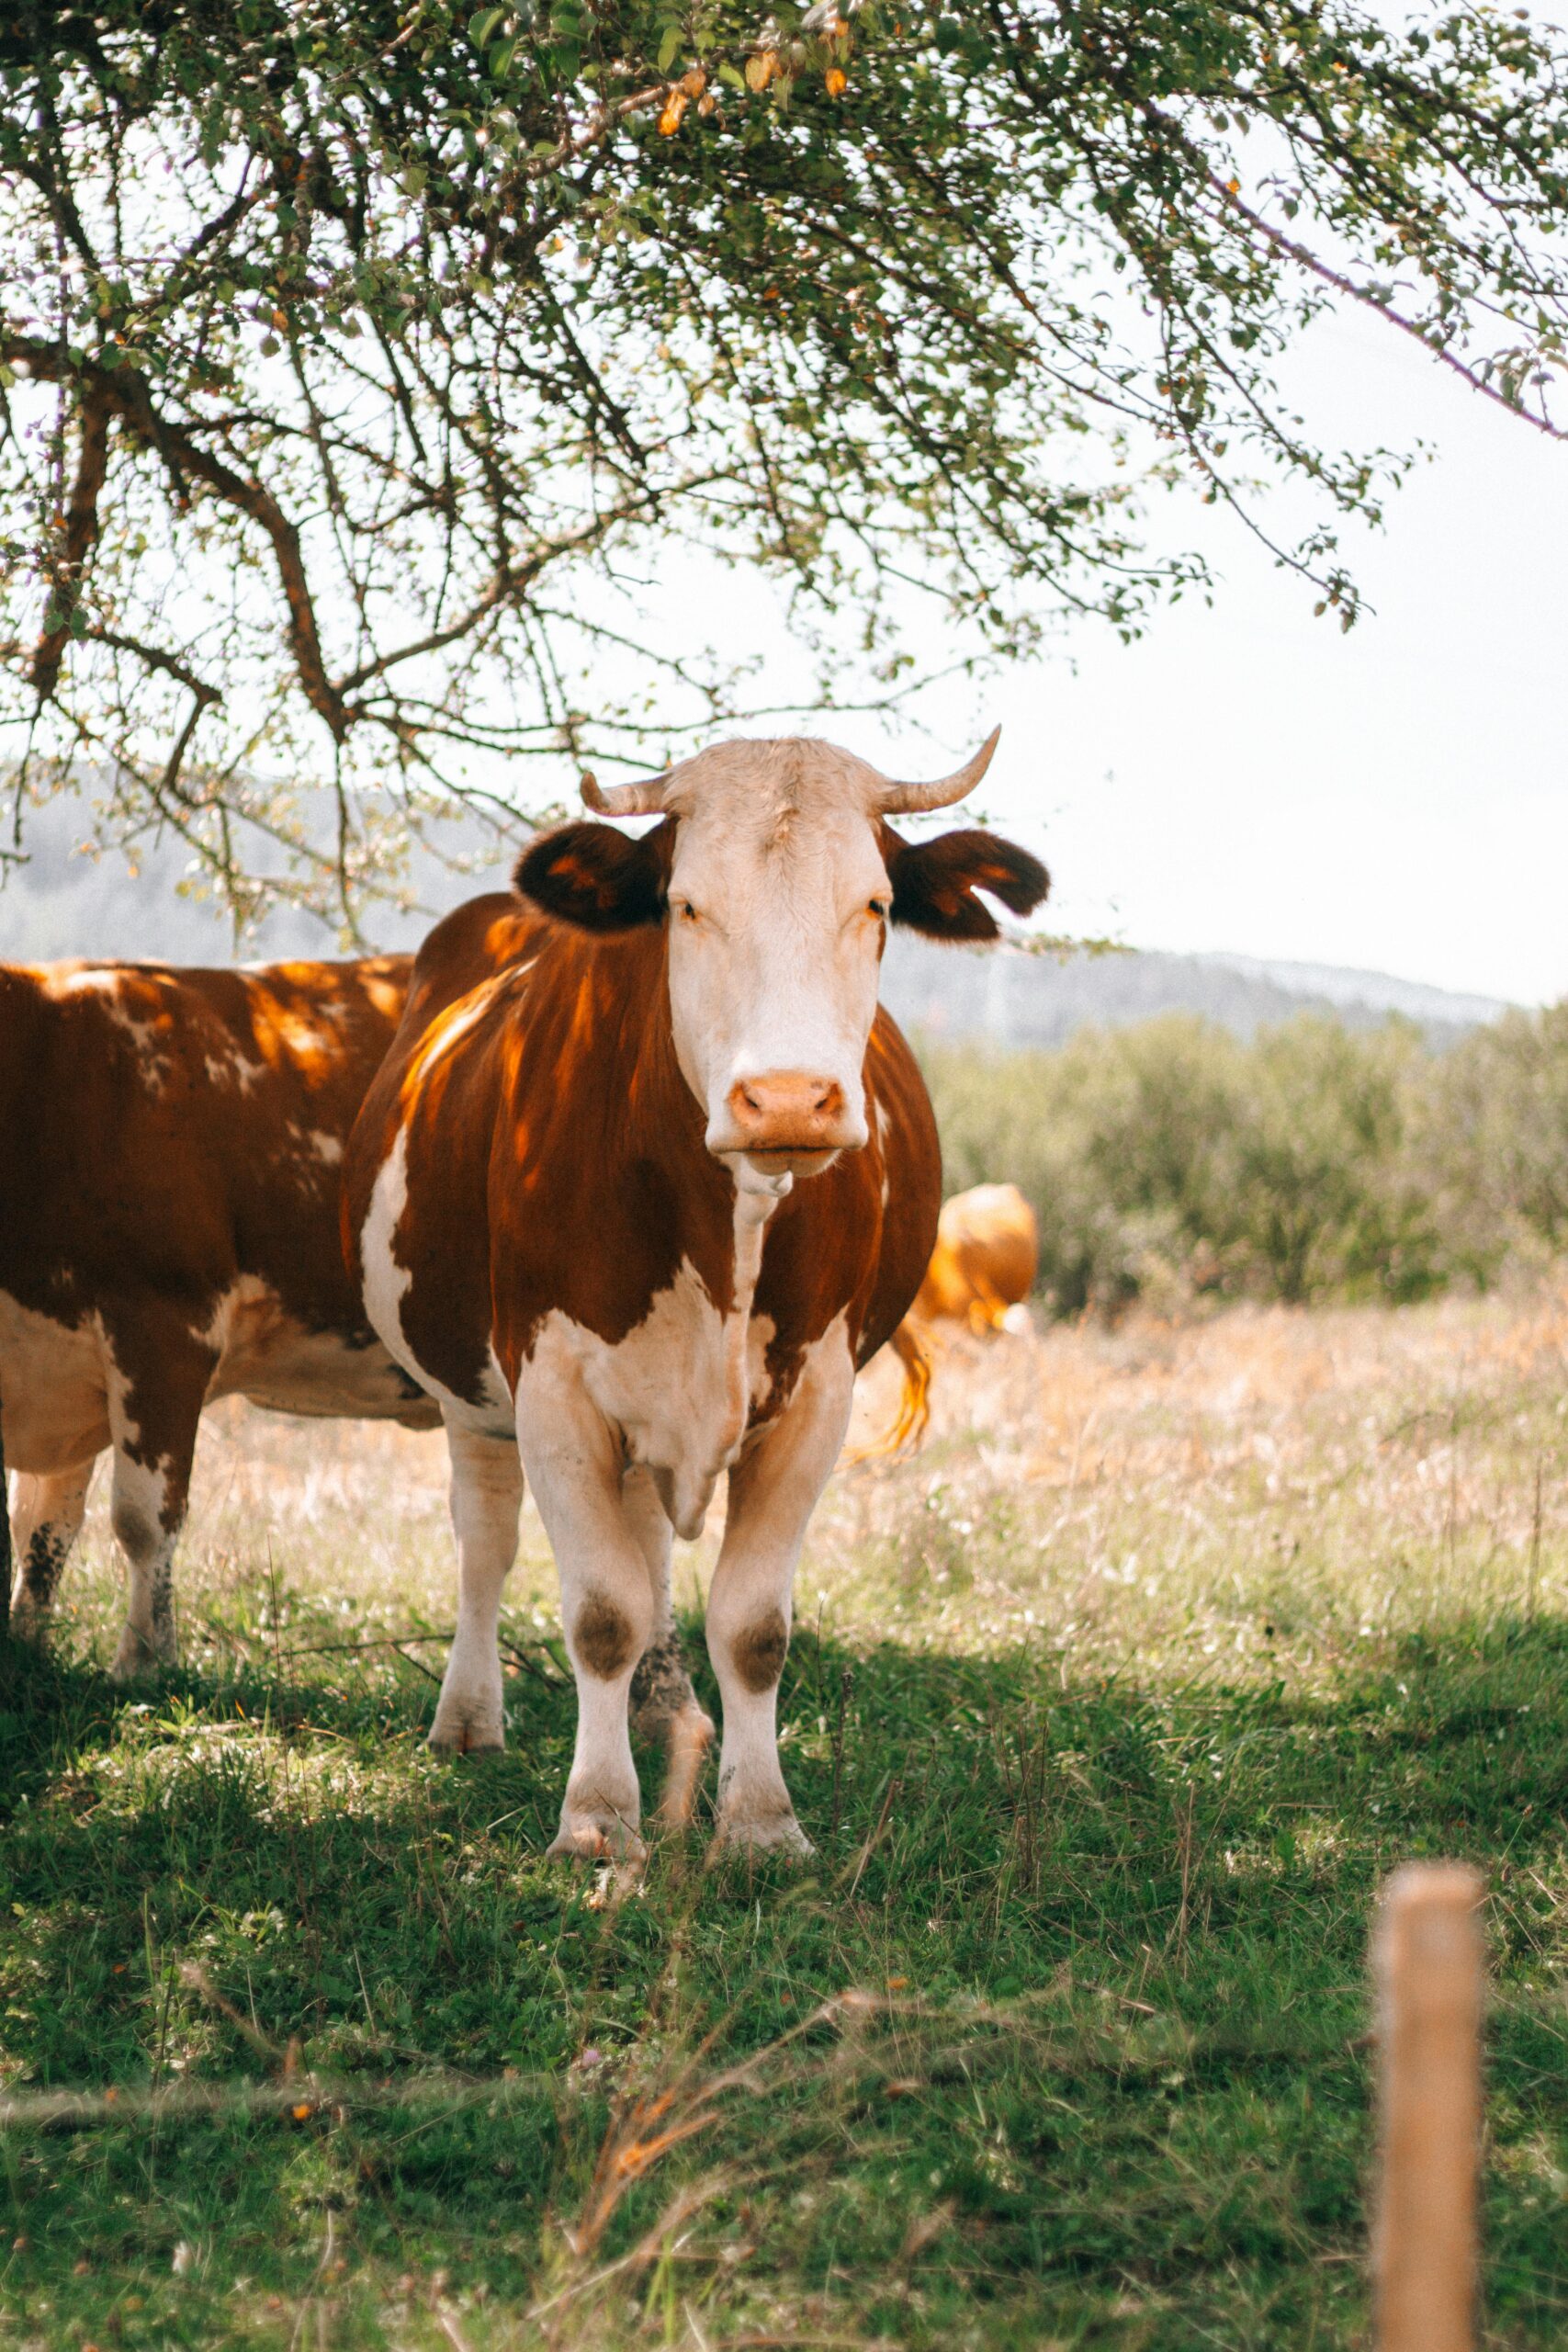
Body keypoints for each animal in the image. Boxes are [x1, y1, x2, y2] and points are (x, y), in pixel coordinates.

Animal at [1, 953, 440, 1672]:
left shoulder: (166, 1325)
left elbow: (142, 1520)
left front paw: (143, 1666)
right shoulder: (52, 1359)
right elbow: (39, 1528)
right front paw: (25, 1650)